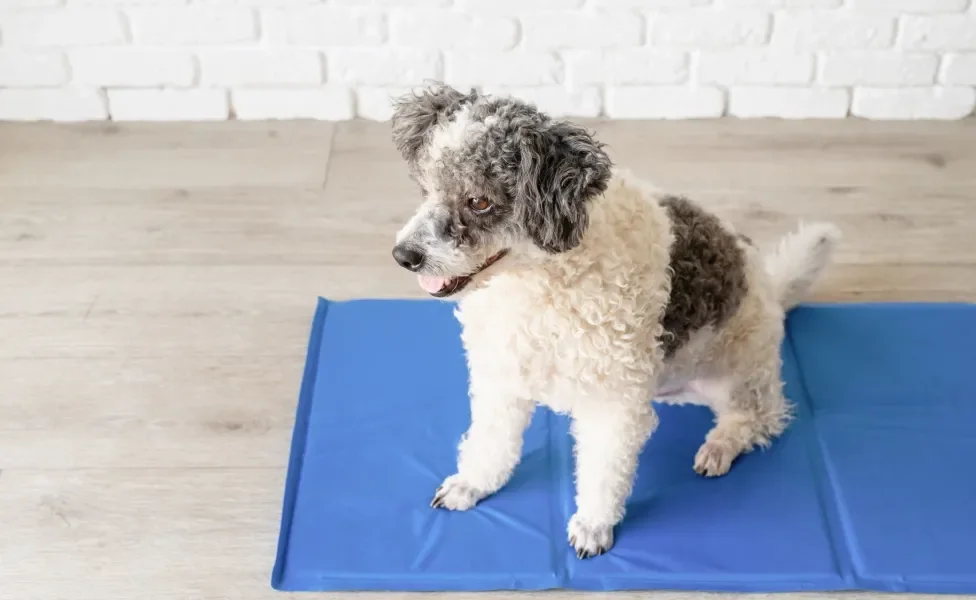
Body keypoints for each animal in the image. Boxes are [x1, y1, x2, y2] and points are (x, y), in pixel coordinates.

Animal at [388, 82, 840, 560]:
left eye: (478, 201)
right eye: (424, 188)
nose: (403, 256)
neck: (541, 281)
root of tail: (770, 289)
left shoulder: (613, 403)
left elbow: (604, 471)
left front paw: (592, 525)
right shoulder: (502, 376)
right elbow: (491, 441)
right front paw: (472, 484)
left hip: (739, 376)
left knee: (761, 419)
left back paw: (720, 445)